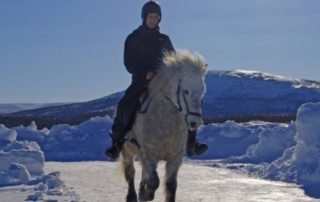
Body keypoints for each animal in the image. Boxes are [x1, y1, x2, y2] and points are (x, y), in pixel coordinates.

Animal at [120, 49, 208, 201]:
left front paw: (144, 191)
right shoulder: (150, 153)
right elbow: (154, 182)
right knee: (131, 173)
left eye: (203, 91)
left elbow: (170, 186)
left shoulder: (175, 157)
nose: (195, 122)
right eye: (186, 91)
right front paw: (145, 194)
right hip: (127, 151)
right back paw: (133, 195)